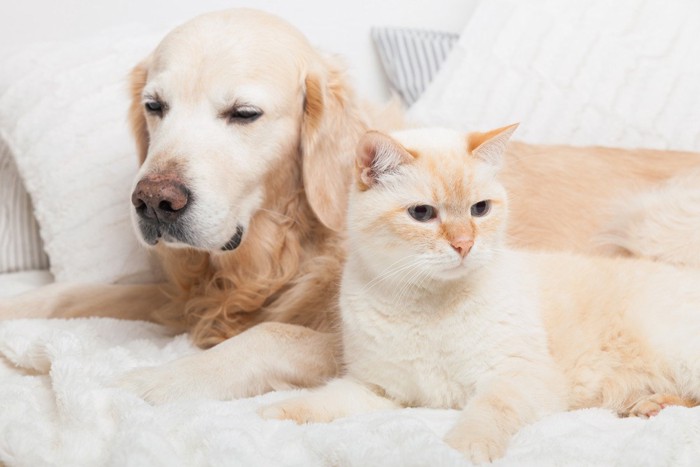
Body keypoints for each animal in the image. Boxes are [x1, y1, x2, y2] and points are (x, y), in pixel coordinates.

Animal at [1, 7, 700, 404]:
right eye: (155, 106)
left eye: (243, 114)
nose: (154, 201)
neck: (286, 244)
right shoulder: (185, 294)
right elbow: (72, 294)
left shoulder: (351, 343)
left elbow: (269, 335)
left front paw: (149, 382)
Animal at [262, 125, 700, 464]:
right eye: (422, 214)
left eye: (480, 209)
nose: (463, 244)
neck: (427, 307)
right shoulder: (379, 391)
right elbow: (317, 402)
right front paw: (271, 414)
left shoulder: (518, 377)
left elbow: (486, 412)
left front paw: (463, 449)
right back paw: (652, 404)